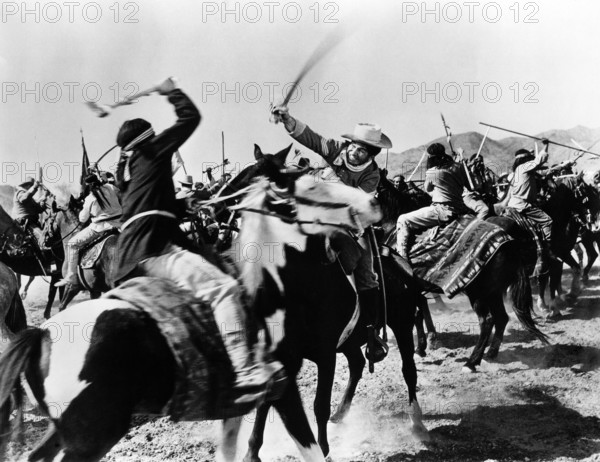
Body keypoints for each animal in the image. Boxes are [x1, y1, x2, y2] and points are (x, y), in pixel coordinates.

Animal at [378, 175, 552, 374]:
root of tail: (508, 243)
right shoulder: (414, 288)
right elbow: (420, 312)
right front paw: (422, 346)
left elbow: (417, 314)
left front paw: (423, 345)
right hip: (492, 292)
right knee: (501, 318)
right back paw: (491, 353)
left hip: (477, 293)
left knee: (487, 321)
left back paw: (471, 362)